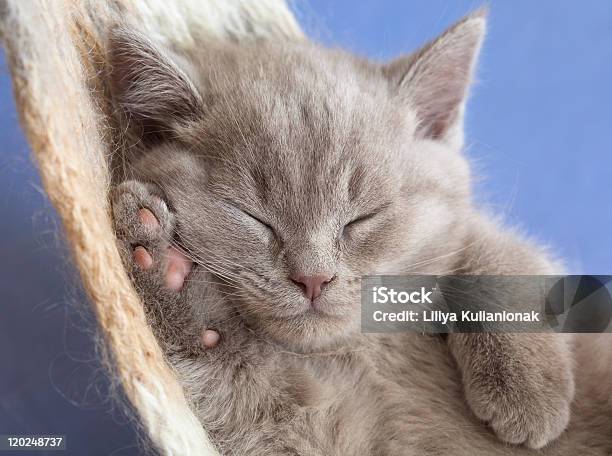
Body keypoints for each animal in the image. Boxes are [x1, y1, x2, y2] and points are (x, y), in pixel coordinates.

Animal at [107, 10, 608, 456]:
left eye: (362, 218)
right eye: (252, 216)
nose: (313, 278)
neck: (356, 349)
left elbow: (487, 242)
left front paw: (528, 392)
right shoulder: (285, 425)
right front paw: (167, 268)